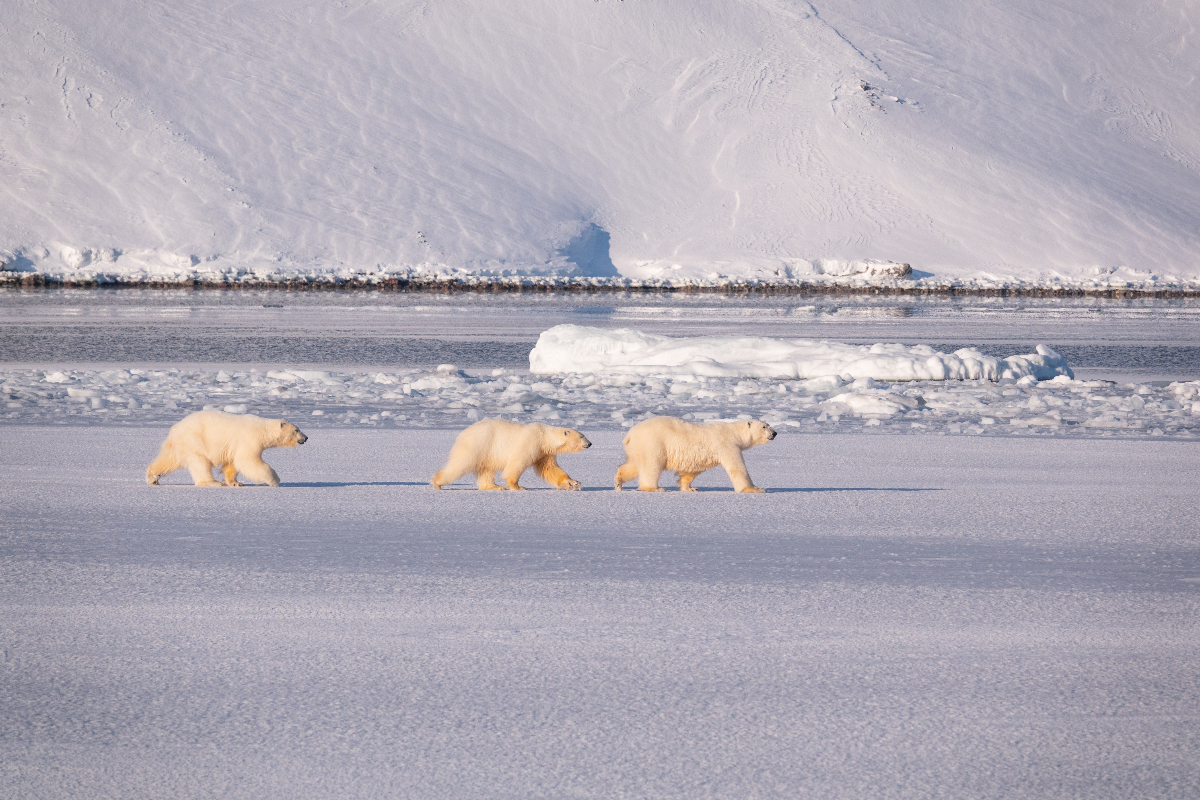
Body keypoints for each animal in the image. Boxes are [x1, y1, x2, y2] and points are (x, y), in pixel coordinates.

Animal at [145, 409, 308, 487]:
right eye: (296, 430)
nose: (306, 438)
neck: (262, 429)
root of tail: (175, 429)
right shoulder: (249, 439)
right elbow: (247, 461)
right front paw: (274, 480)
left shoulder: (235, 446)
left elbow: (233, 463)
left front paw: (236, 483)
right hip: (195, 441)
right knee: (200, 463)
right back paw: (213, 482)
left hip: (180, 445)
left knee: (168, 460)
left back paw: (153, 477)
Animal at [432, 419, 591, 490]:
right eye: (582, 436)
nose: (590, 443)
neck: (544, 436)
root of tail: (463, 433)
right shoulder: (530, 442)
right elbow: (517, 464)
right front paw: (518, 487)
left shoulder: (544, 453)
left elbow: (550, 469)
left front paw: (573, 482)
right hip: (478, 445)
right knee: (460, 464)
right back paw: (437, 483)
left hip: (488, 452)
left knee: (487, 470)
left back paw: (494, 487)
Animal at [615, 416, 776, 493]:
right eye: (764, 426)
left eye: (768, 425)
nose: (774, 433)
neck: (734, 433)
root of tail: (630, 434)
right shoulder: (726, 444)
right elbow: (737, 468)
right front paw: (756, 489)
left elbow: (692, 469)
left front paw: (690, 487)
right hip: (653, 443)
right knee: (651, 465)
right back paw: (654, 488)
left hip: (637, 448)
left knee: (633, 465)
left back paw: (618, 482)